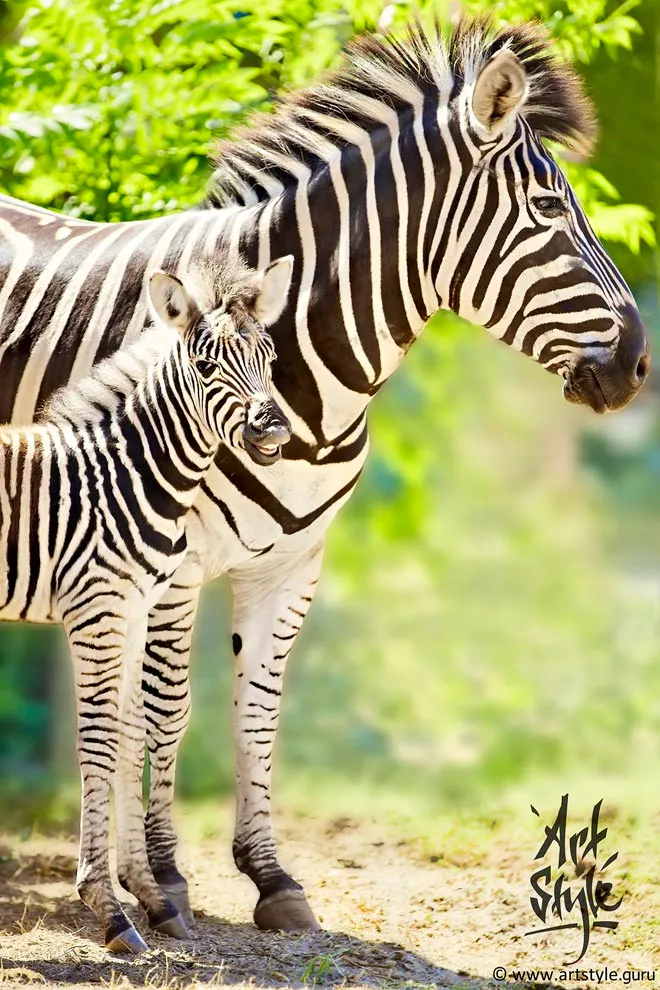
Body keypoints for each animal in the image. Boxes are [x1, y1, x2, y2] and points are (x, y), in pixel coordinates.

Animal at [0, 254, 293, 952]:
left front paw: (153, 897)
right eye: (208, 366)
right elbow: (100, 740)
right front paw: (108, 908)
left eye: (270, 356)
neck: (127, 474)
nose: (274, 428)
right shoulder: (96, 612)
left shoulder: (134, 611)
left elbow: (132, 733)